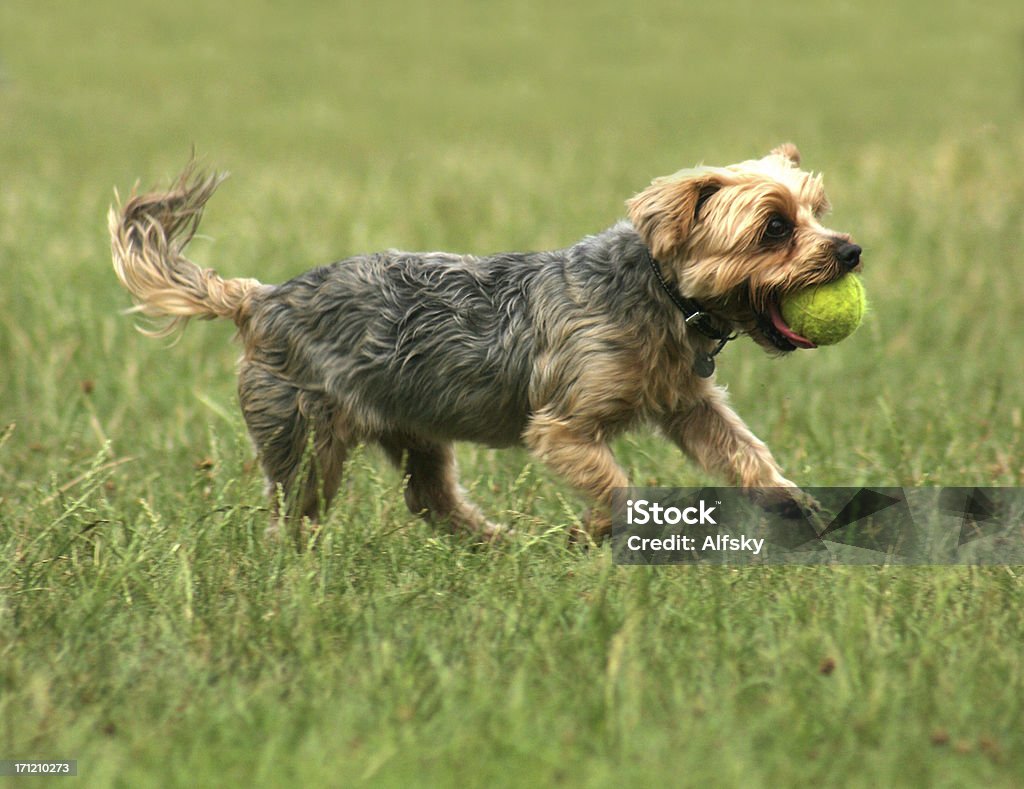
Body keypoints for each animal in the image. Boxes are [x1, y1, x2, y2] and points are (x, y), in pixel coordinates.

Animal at [108, 145, 864, 544]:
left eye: (816, 213)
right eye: (774, 227)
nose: (851, 250)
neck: (661, 294)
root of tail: (258, 299)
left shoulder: (688, 402)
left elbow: (744, 451)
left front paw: (794, 504)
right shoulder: (564, 424)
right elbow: (613, 481)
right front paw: (598, 532)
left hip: (414, 429)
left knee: (431, 497)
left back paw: (496, 544)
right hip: (305, 431)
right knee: (296, 508)